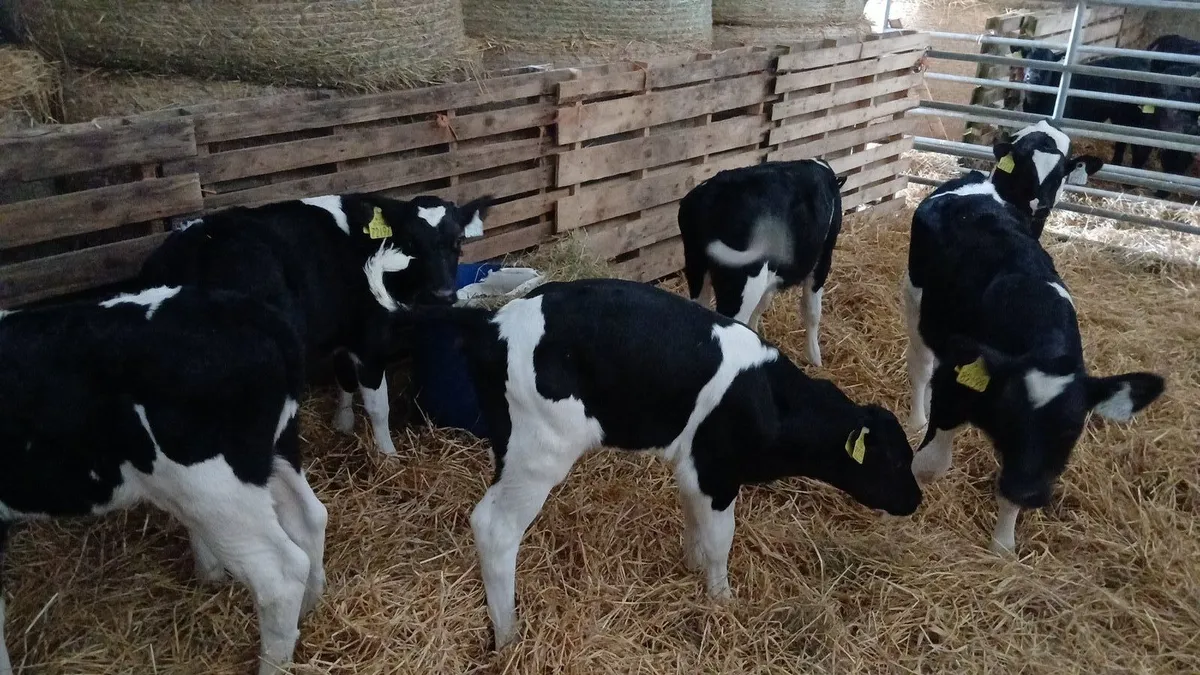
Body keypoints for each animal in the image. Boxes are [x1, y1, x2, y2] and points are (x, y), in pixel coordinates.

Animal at [0, 286, 327, 675]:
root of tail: (247, 312)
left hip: (215, 490)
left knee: (280, 575)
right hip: (276, 453)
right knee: (310, 518)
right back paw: (307, 612)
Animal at [139, 192, 492, 456]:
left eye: (458, 242)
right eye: (410, 243)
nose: (443, 294)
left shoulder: (344, 328)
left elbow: (344, 378)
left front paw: (343, 423)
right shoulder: (370, 338)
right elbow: (378, 406)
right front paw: (388, 455)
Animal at [404, 278, 922, 648]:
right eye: (895, 461)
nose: (917, 499)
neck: (771, 399)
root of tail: (494, 322)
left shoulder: (695, 469)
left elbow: (696, 526)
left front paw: (692, 571)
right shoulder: (718, 474)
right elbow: (721, 540)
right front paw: (723, 601)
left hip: (511, 447)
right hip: (539, 453)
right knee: (494, 527)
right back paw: (508, 636)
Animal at [678, 159, 846, 366]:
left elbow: (762, 304)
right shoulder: (822, 260)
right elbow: (812, 310)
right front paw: (815, 358)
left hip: (696, 271)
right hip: (741, 287)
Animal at [904, 176, 1166, 554]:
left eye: (1071, 429)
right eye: (1009, 420)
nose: (1030, 491)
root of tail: (973, 179)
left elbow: (1008, 497)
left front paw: (1002, 546)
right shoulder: (954, 386)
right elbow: (929, 465)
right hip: (915, 302)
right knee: (921, 367)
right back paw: (916, 418)